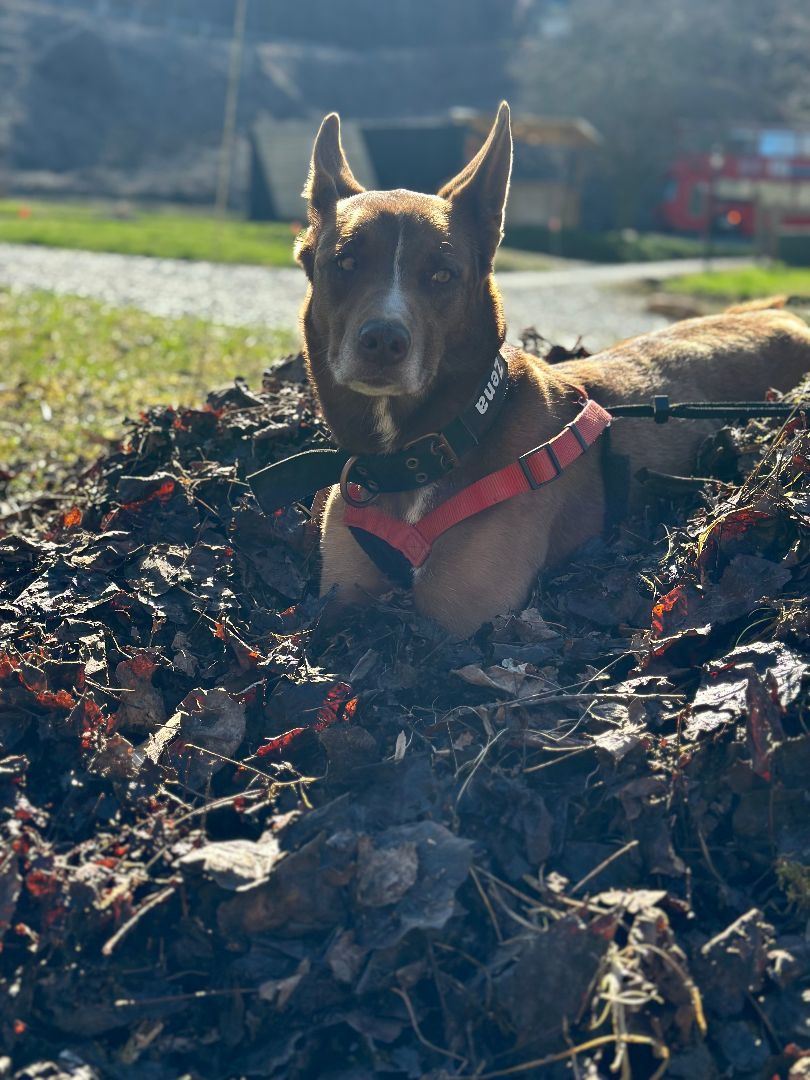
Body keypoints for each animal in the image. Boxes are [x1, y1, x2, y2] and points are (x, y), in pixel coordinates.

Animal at [295, 101, 810, 635]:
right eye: (345, 264)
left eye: (442, 275)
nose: (383, 341)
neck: (429, 448)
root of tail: (783, 315)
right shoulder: (341, 591)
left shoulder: (457, 615)